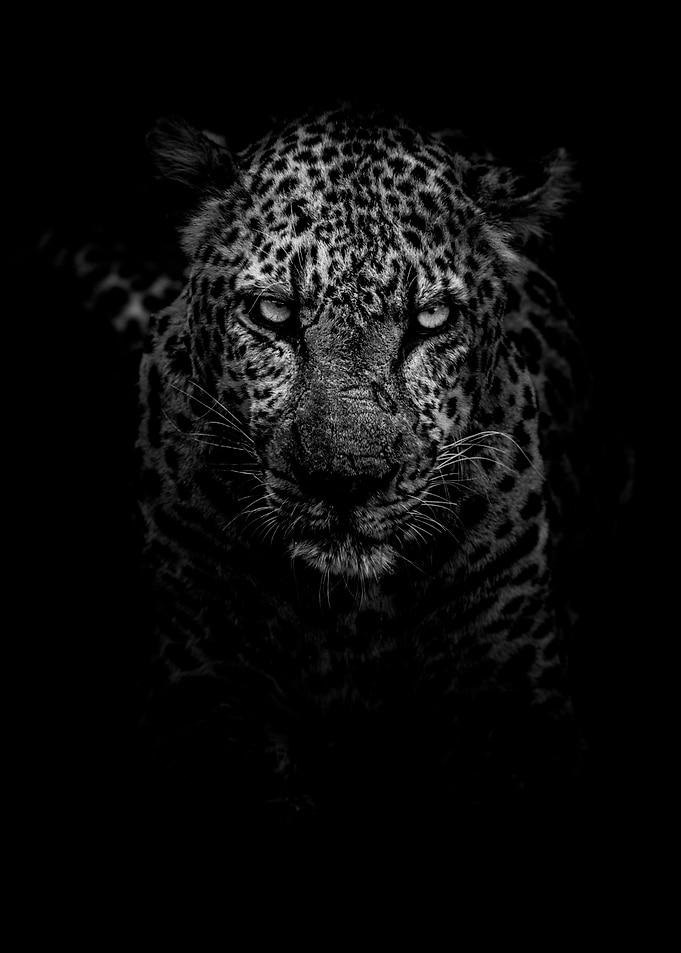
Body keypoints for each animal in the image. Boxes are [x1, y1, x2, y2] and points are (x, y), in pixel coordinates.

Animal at [134, 104, 629, 833]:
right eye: (274, 312)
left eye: (431, 318)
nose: (345, 480)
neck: (349, 616)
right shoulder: (204, 687)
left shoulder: (514, 704)